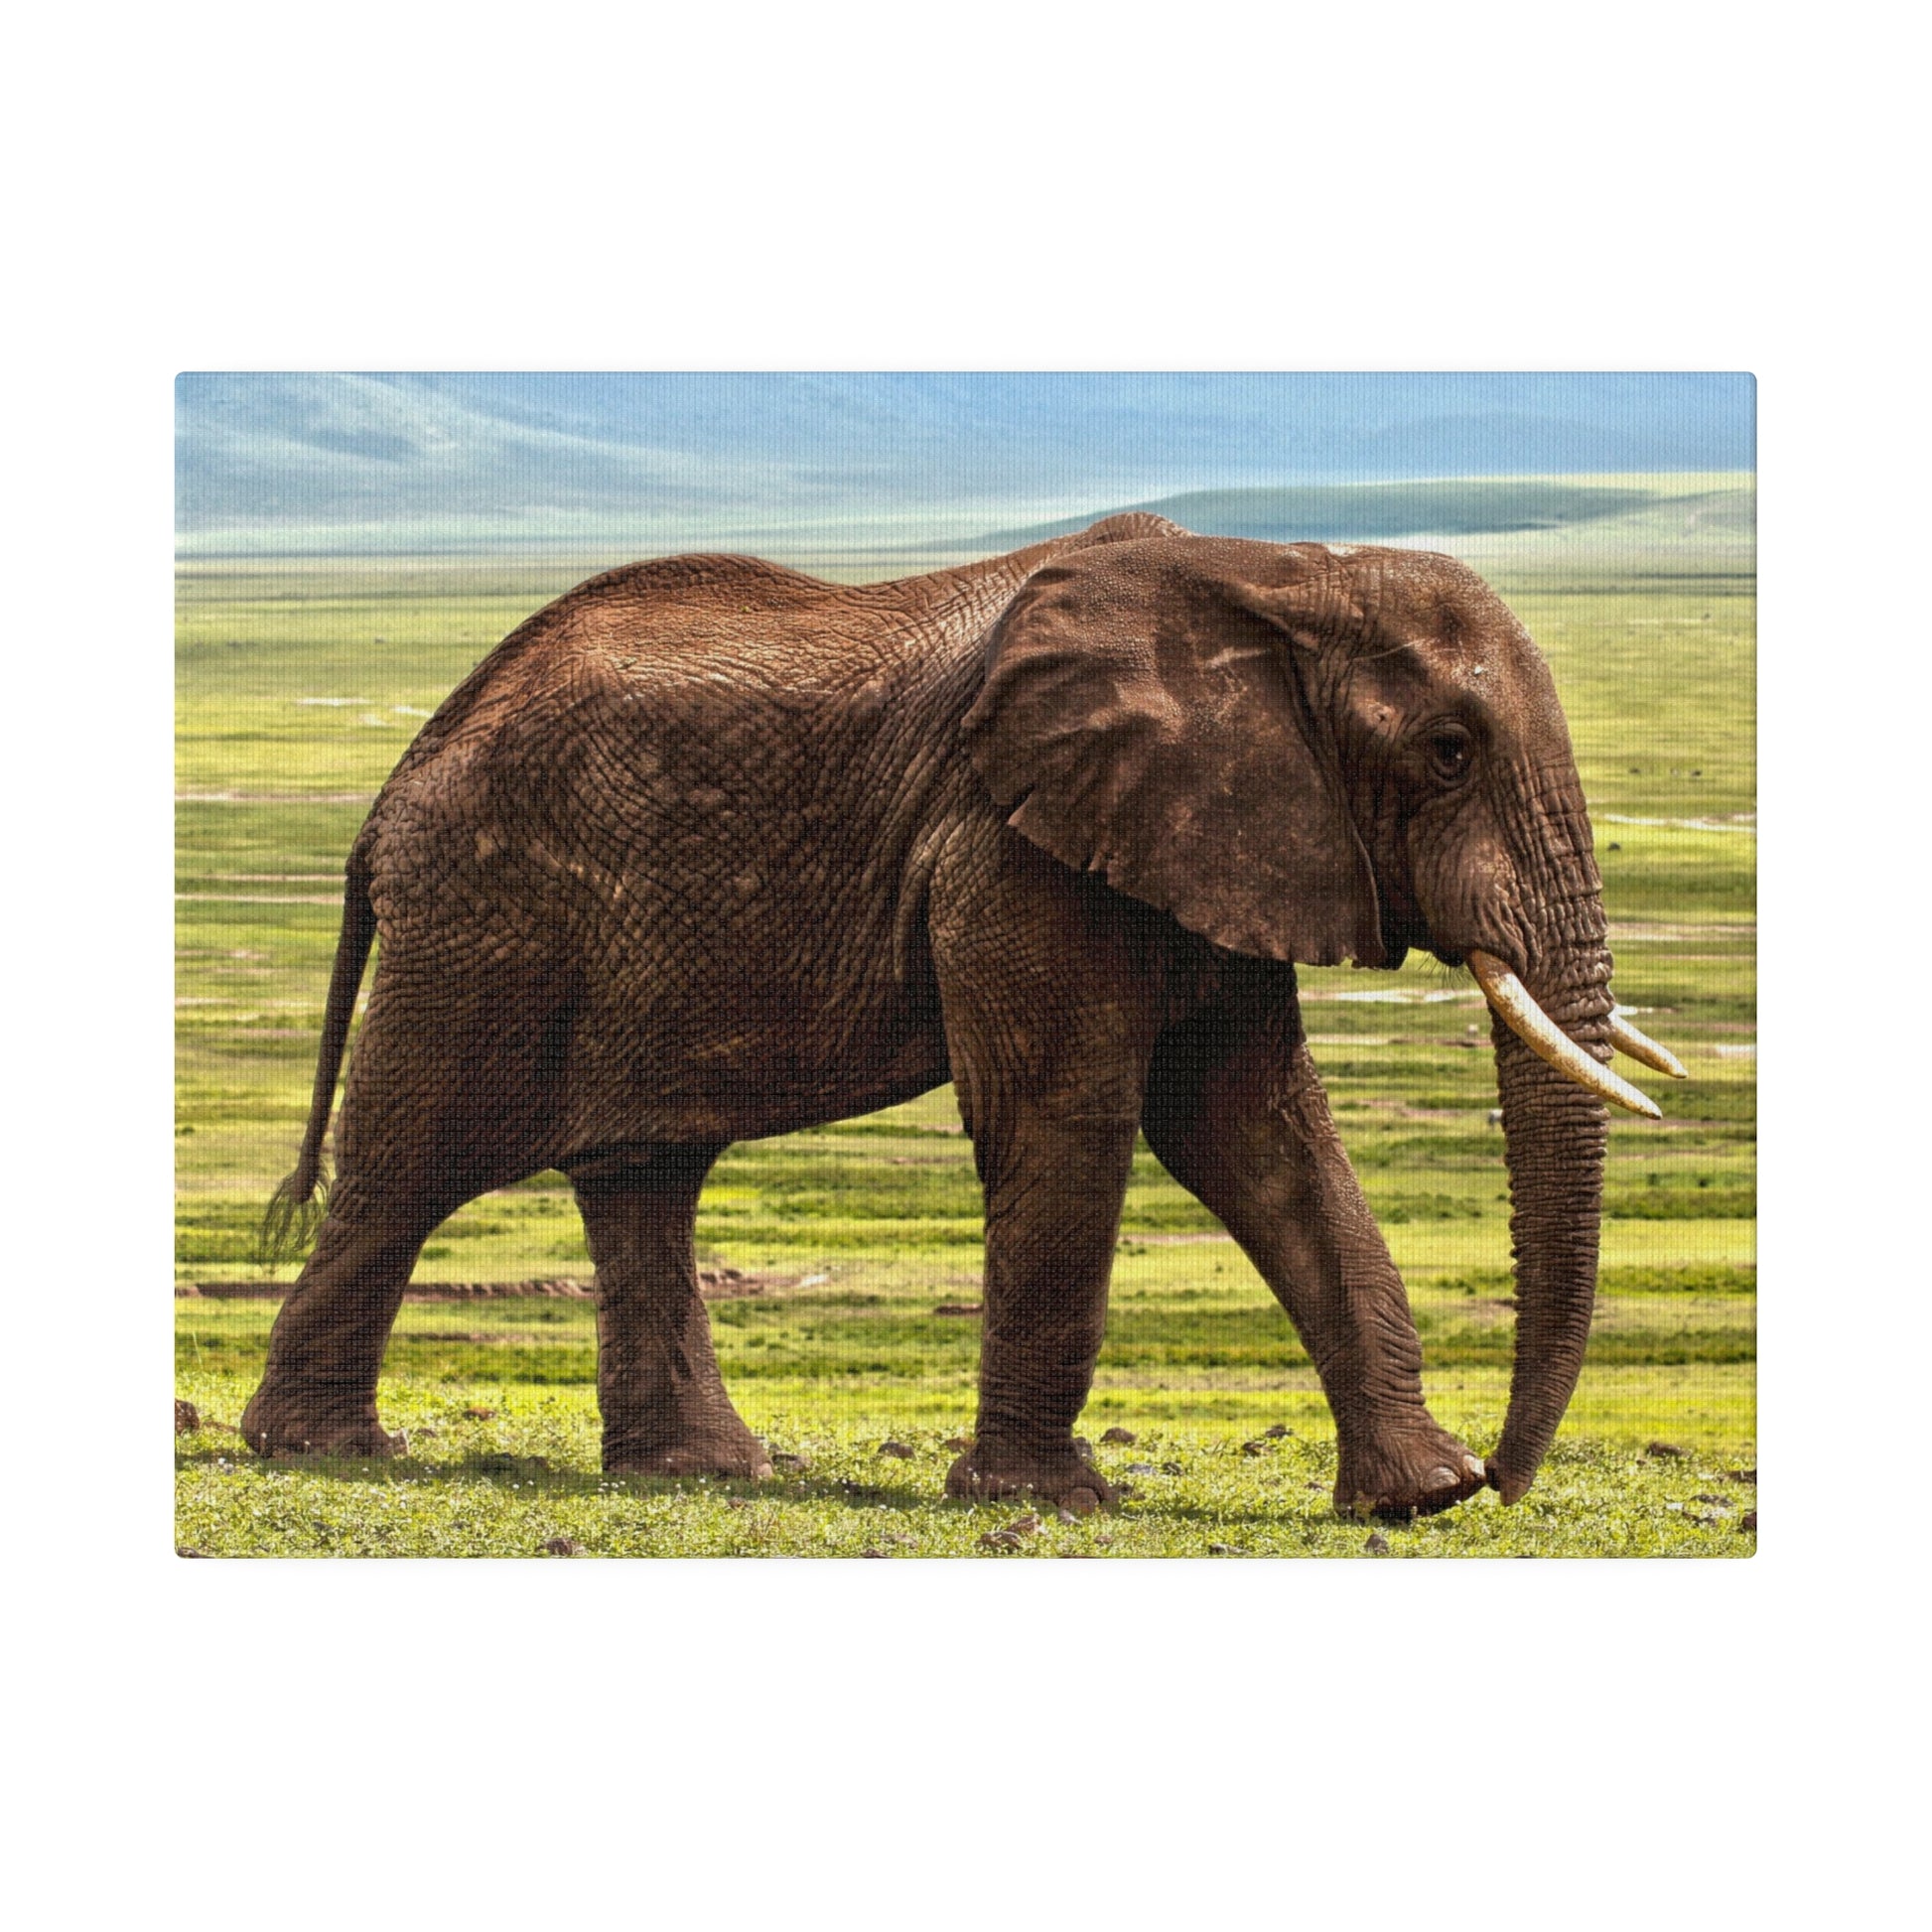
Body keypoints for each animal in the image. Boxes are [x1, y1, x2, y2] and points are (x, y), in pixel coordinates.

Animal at [240, 511, 1683, 1518]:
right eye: (1446, 751)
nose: (1506, 1480)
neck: (1273, 572)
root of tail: (393, 785)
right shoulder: (1010, 843)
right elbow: (1071, 1115)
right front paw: (1052, 1502)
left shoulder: (1214, 839)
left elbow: (1256, 1131)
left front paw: (1414, 1497)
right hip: (484, 921)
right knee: (408, 1165)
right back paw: (322, 1449)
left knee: (641, 1174)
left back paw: (702, 1473)